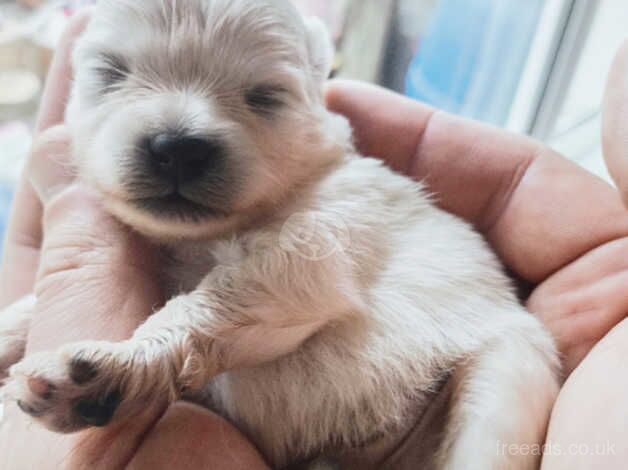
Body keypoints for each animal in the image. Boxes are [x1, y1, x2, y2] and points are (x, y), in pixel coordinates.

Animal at [0, 1, 560, 468]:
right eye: (110, 72)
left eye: (266, 97)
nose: (178, 148)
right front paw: (12, 330)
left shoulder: (317, 245)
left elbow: (213, 300)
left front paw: (112, 369)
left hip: (506, 378)